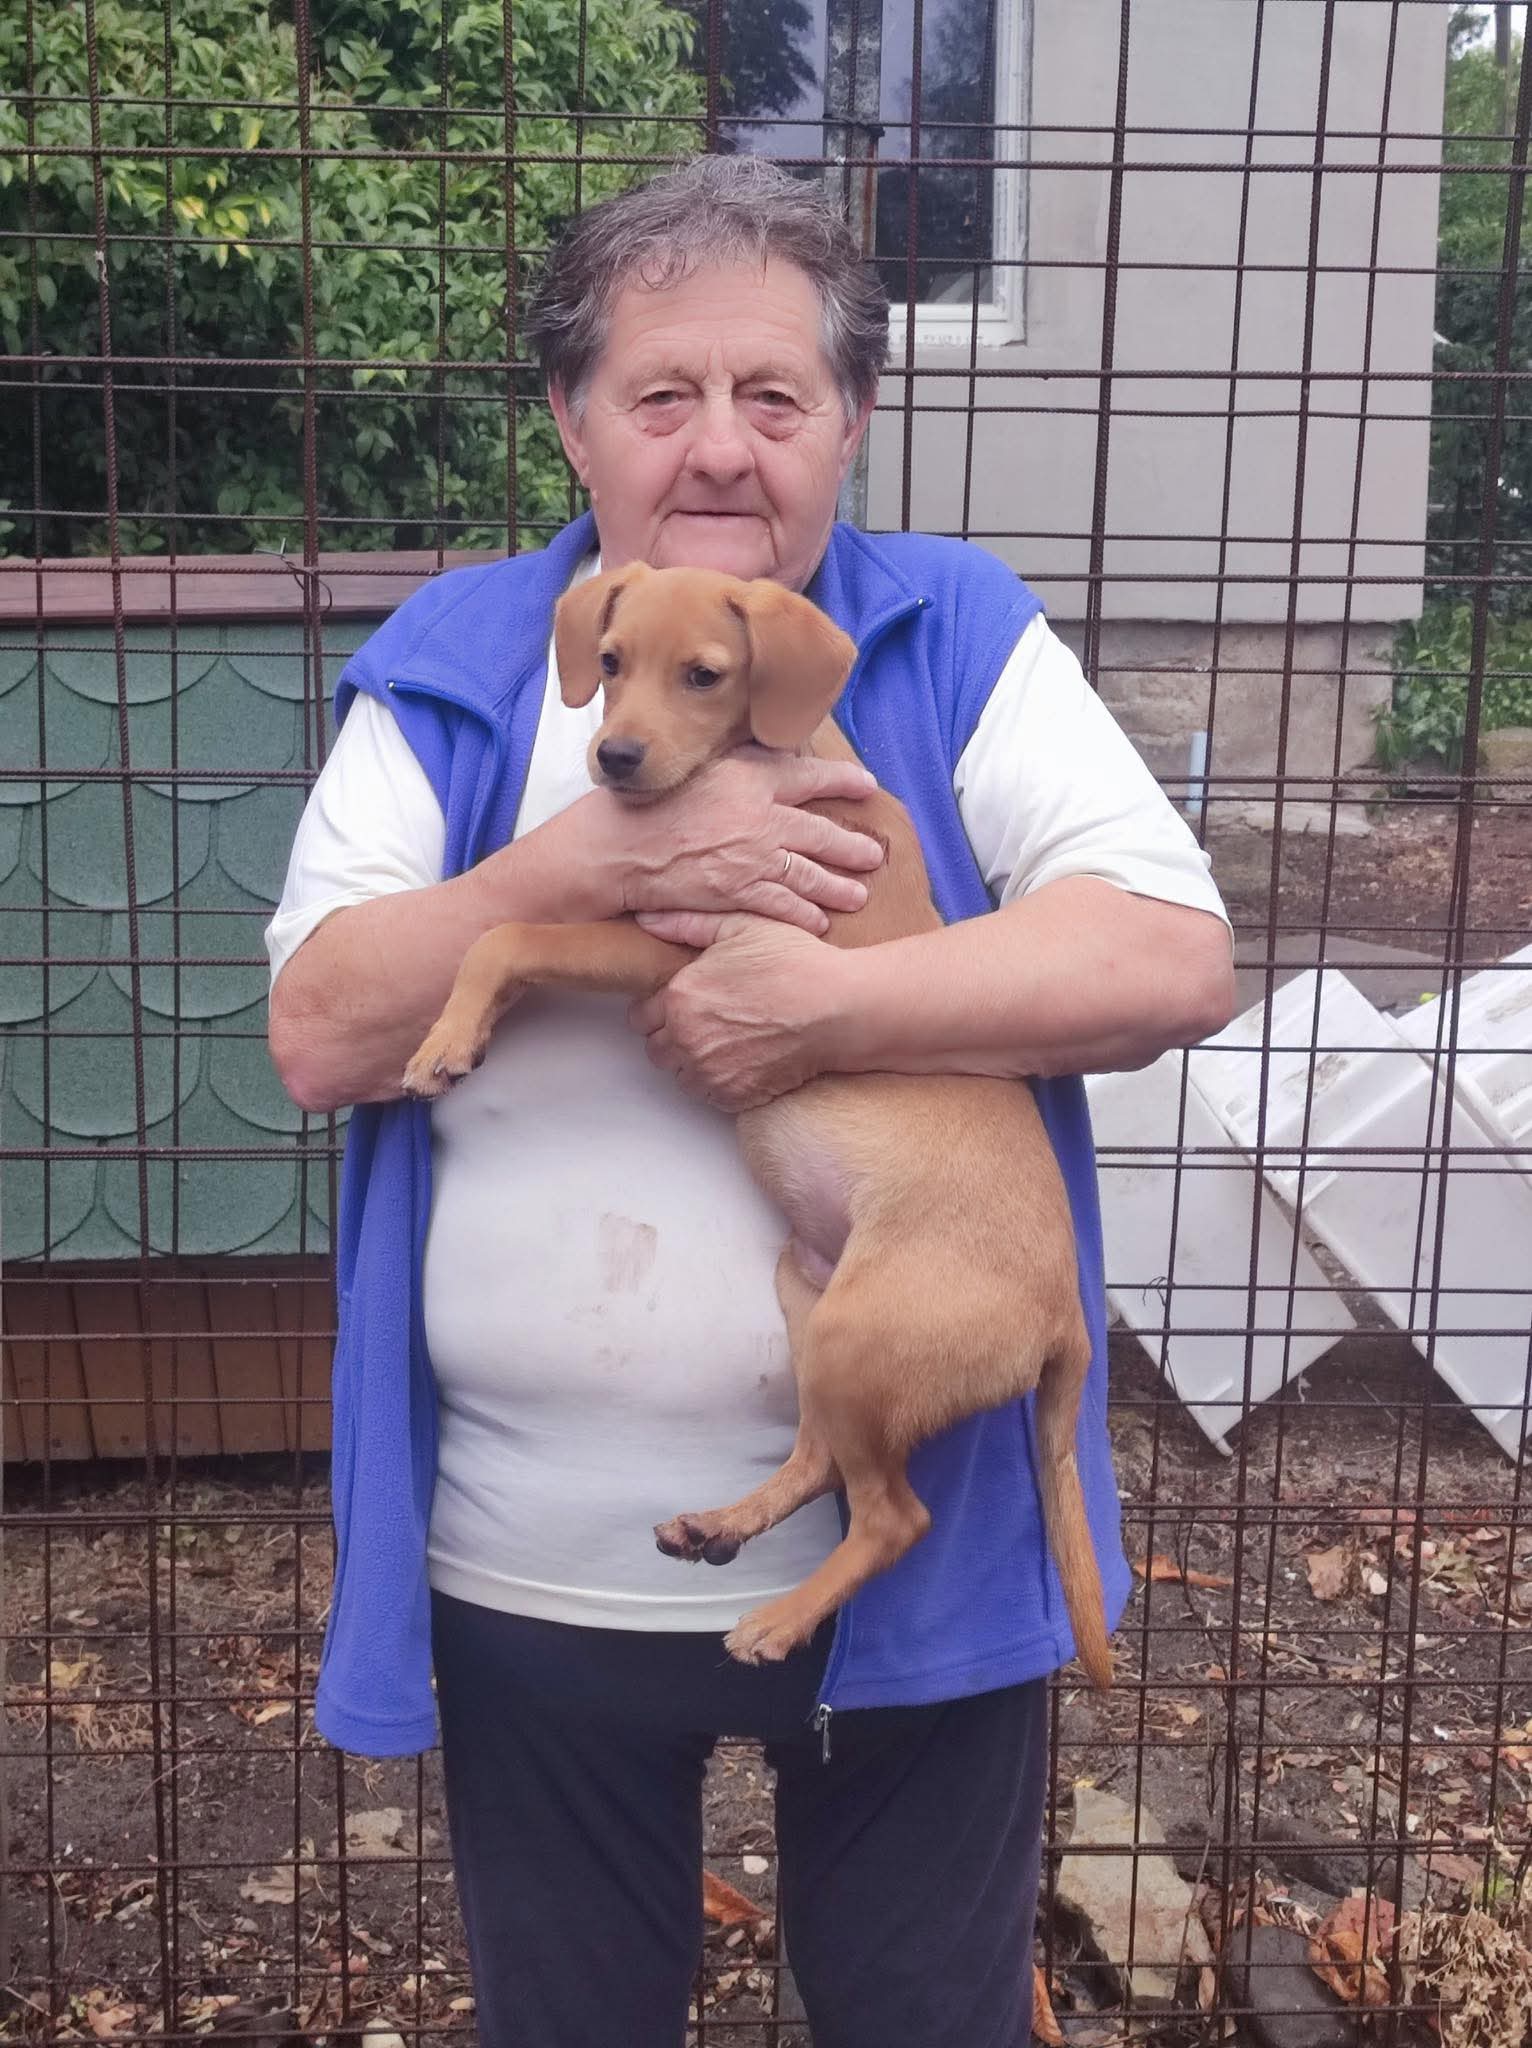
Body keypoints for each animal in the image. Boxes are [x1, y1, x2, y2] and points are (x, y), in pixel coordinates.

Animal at [401, 562, 1112, 1686]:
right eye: (610, 662)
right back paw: (725, 1523)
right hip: (810, 1309)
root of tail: (1062, 1318)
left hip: (862, 1339)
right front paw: (460, 1030)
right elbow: (505, 927)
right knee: (821, 1458)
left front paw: (444, 1042)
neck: (773, 757)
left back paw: (779, 1620)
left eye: (704, 675)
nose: (614, 758)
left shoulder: (678, 947)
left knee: (893, 1515)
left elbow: (505, 932)